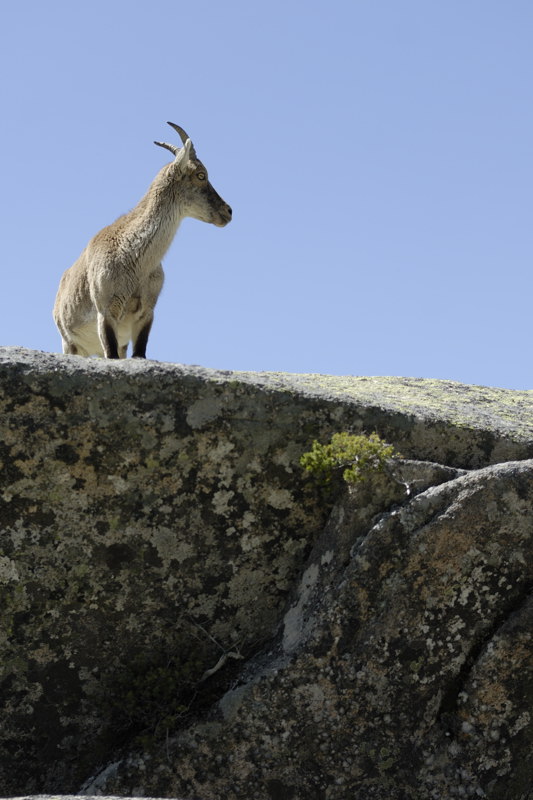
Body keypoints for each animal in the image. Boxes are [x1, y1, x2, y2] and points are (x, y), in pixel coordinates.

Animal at [52, 122, 233, 360]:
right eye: (201, 175)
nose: (228, 211)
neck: (135, 260)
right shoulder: (106, 312)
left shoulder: (146, 314)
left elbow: (140, 353)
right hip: (69, 342)